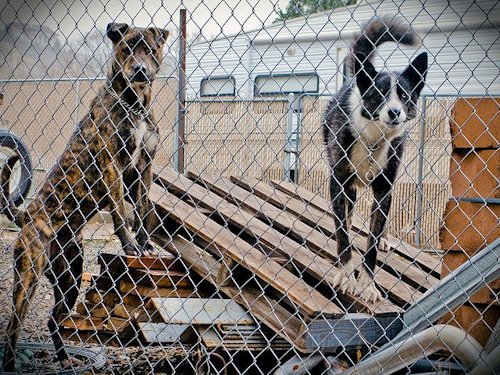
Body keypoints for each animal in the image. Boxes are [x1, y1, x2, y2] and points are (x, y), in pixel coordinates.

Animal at [0, 23, 170, 374]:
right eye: (127, 48)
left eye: (150, 49)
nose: (140, 70)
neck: (136, 105)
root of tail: (28, 216)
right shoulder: (112, 165)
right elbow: (120, 212)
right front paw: (130, 246)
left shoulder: (143, 169)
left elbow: (143, 210)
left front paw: (144, 244)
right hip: (28, 277)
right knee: (13, 327)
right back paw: (12, 363)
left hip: (70, 278)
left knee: (54, 319)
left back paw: (65, 357)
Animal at [326, 16, 428, 304]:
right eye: (380, 93)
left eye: (403, 95)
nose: (394, 112)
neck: (373, 138)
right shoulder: (338, 182)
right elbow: (343, 234)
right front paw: (346, 275)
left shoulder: (384, 189)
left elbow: (370, 244)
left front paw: (368, 284)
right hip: (349, 187)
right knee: (347, 218)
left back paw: (384, 238)